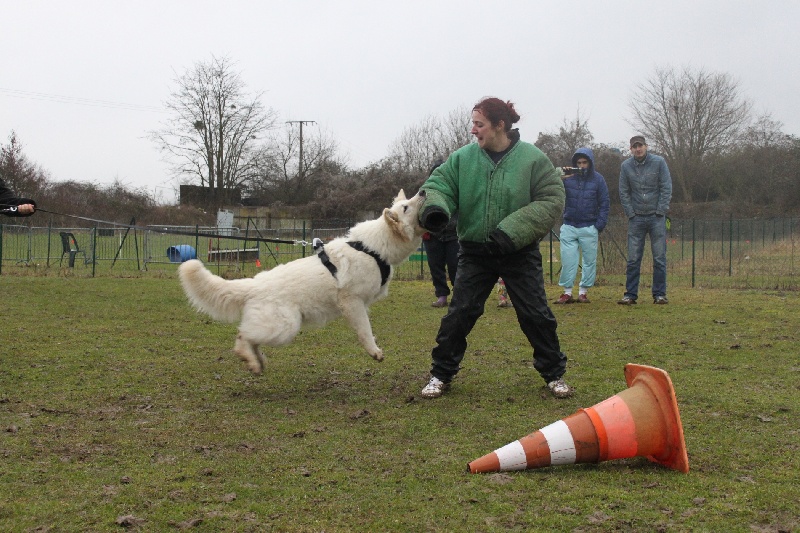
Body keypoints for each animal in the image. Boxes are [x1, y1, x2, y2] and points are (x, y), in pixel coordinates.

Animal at [178, 189, 428, 372]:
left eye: (408, 200)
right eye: (405, 207)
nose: (423, 191)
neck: (373, 250)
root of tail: (254, 283)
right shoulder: (352, 302)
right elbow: (365, 331)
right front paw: (374, 351)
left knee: (249, 337)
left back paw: (256, 361)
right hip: (285, 327)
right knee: (243, 336)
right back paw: (249, 358)